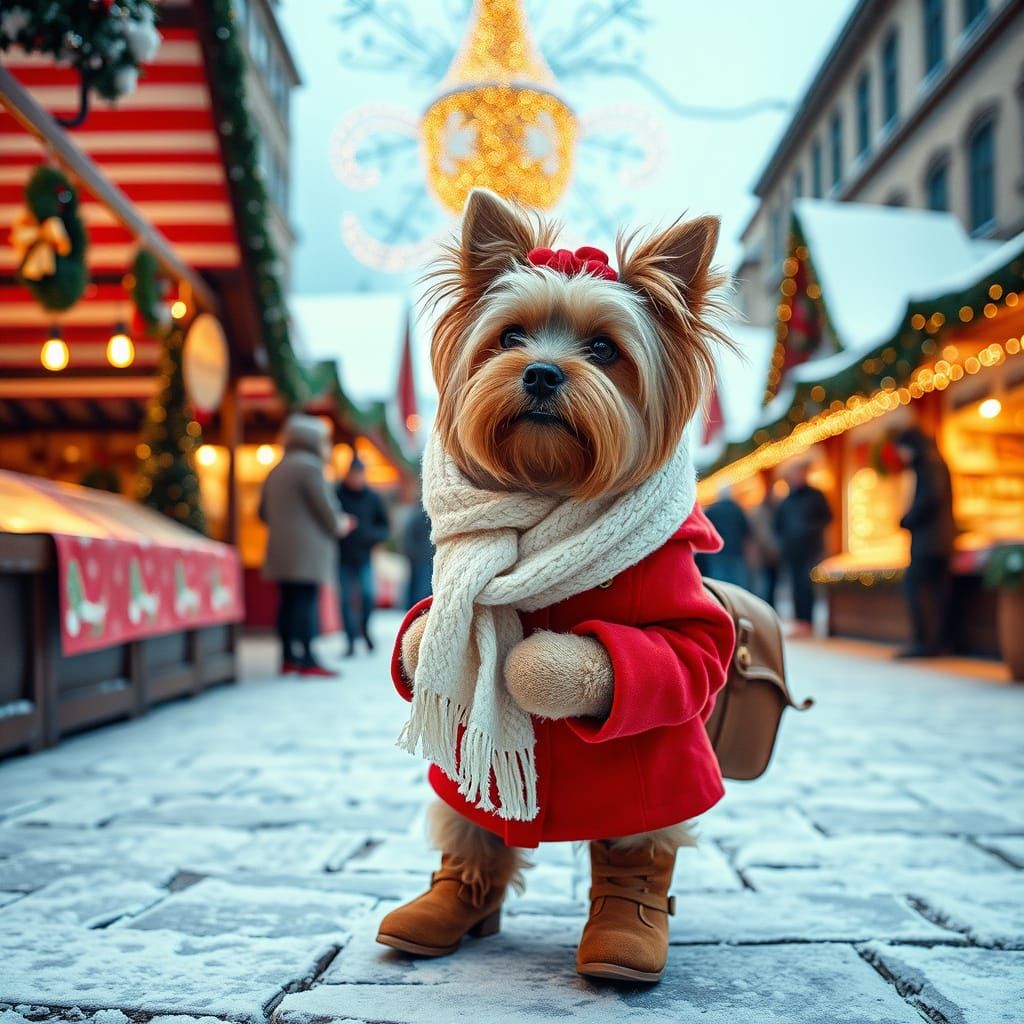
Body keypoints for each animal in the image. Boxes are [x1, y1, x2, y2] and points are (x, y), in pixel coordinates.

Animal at [378, 186, 737, 983]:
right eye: (510, 337)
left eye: (604, 350)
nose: (541, 372)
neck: (548, 487)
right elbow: (421, 633)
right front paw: (421, 645)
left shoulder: (683, 609)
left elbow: (688, 653)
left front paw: (542, 668)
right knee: (473, 818)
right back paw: (449, 903)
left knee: (645, 833)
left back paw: (625, 931)